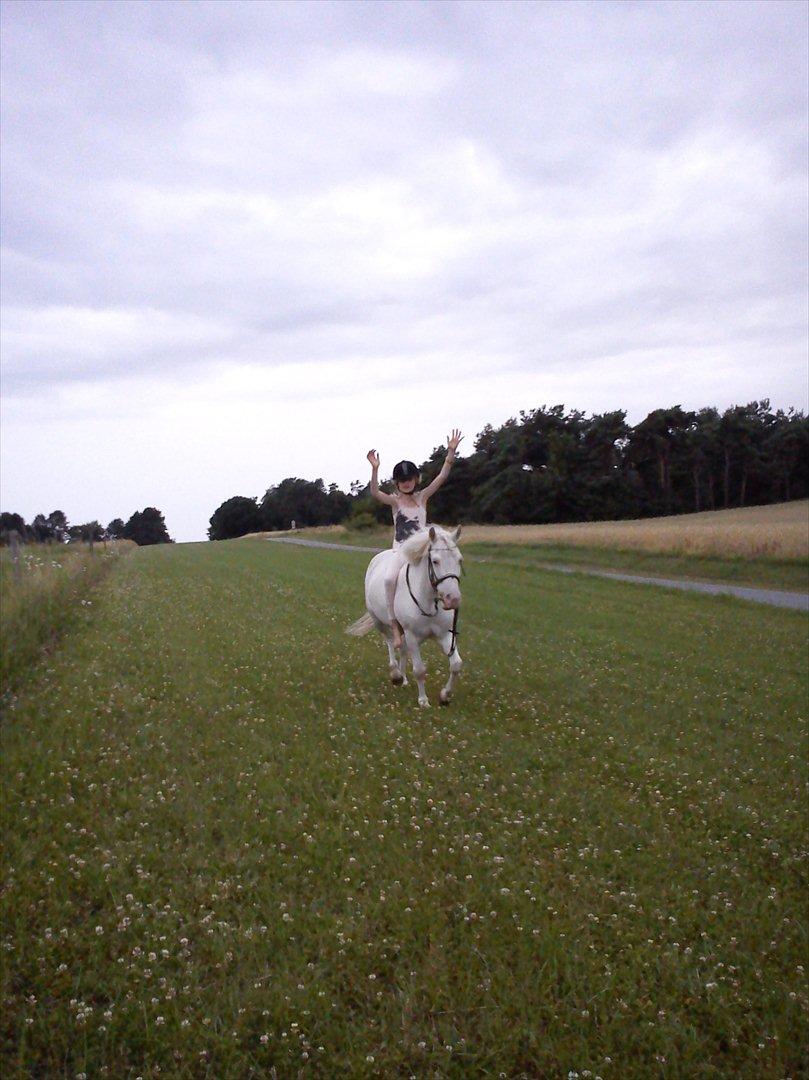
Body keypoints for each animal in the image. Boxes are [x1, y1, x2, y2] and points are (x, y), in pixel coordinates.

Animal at [346, 525, 464, 708]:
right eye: (435, 561)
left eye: (459, 560)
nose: (453, 599)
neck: (428, 601)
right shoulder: (412, 636)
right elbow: (419, 670)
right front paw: (423, 701)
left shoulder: (445, 635)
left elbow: (456, 665)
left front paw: (445, 696)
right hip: (380, 622)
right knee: (390, 642)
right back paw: (395, 675)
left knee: (402, 649)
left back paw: (403, 679)